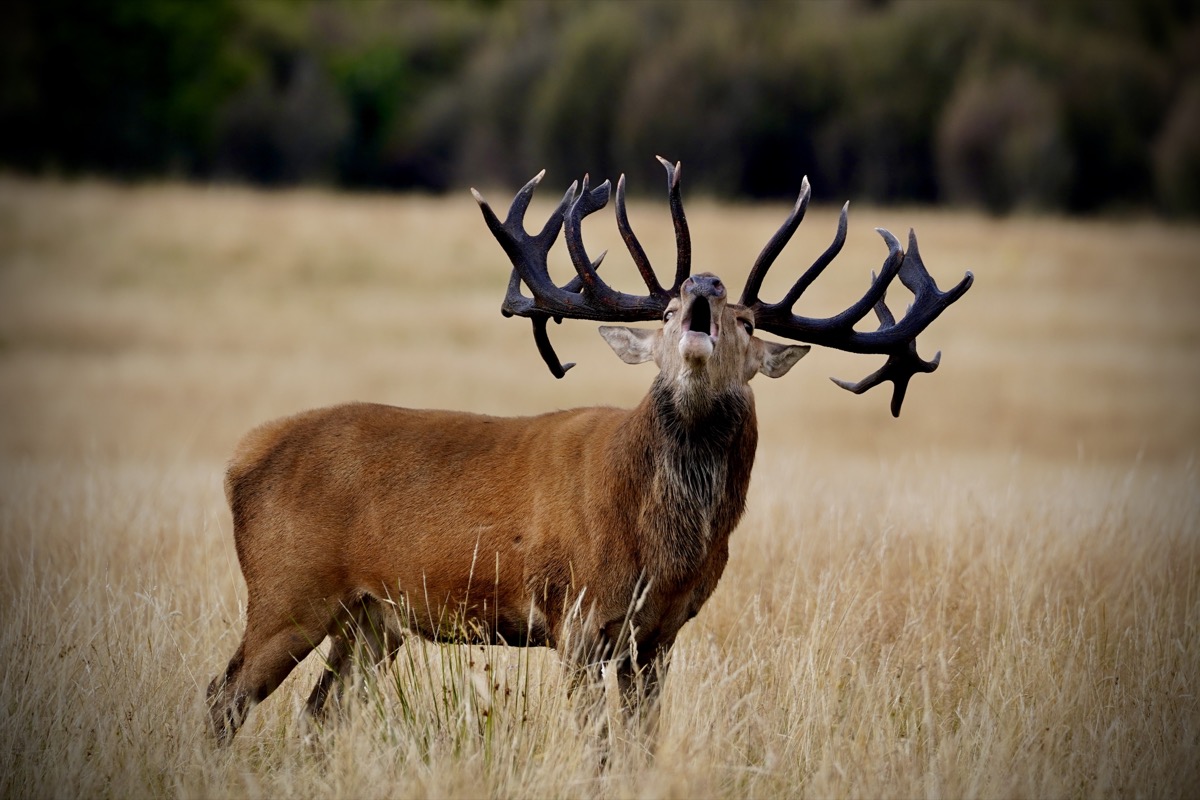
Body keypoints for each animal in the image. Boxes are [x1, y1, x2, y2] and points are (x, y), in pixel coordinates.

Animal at [206, 157, 973, 745]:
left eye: (748, 322)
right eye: (667, 310)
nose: (702, 285)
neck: (659, 544)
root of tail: (240, 457)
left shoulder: (658, 637)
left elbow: (640, 743)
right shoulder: (574, 615)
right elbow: (596, 741)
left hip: (371, 621)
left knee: (317, 712)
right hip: (287, 588)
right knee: (225, 694)